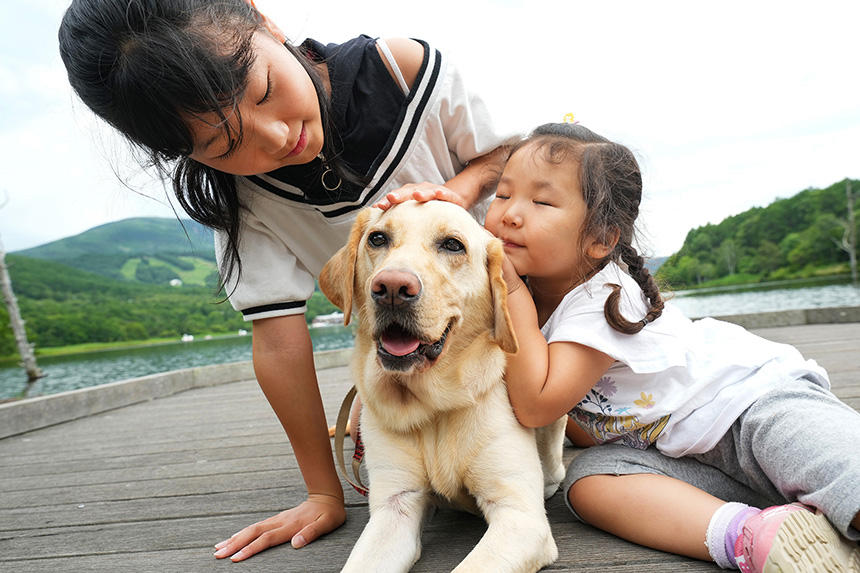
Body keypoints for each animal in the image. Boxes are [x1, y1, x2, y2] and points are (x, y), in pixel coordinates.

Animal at [318, 201, 564, 572]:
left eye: (452, 245)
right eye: (377, 238)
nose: (392, 288)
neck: (433, 407)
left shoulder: (518, 515)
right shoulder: (395, 506)